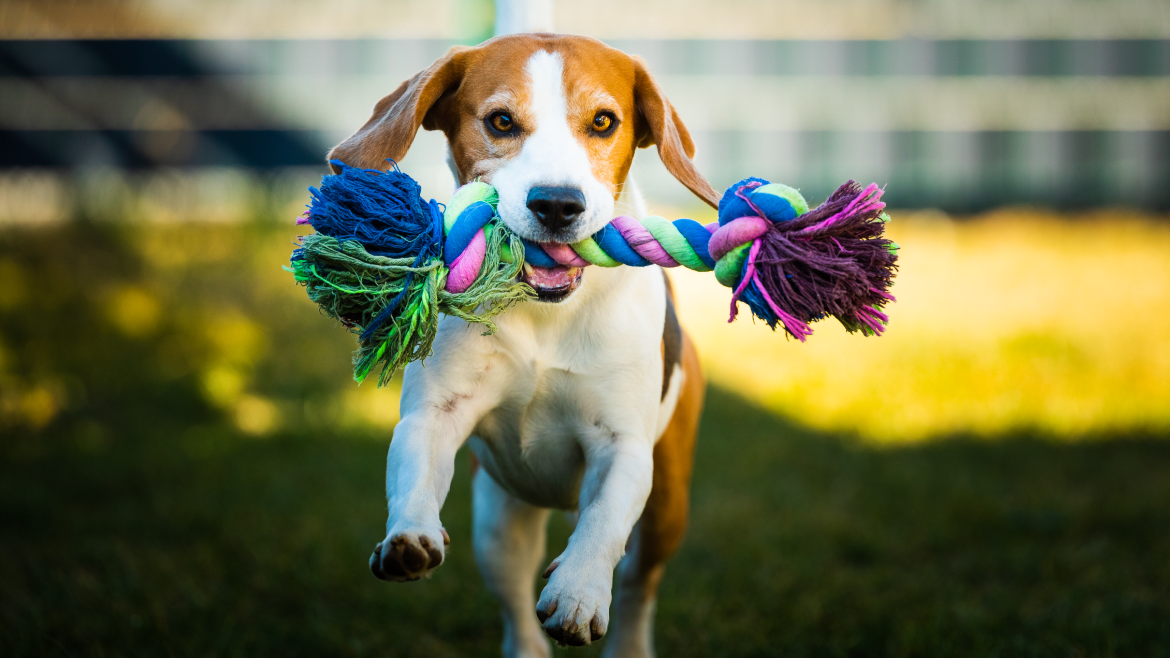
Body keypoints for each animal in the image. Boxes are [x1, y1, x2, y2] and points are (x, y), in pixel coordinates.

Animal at [329, 33, 720, 650]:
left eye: (604, 121)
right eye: (502, 121)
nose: (557, 203)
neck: (546, 313)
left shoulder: (624, 446)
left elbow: (602, 524)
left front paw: (579, 592)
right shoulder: (435, 412)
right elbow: (414, 468)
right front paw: (408, 537)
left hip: (666, 508)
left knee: (639, 585)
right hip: (498, 522)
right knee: (516, 606)